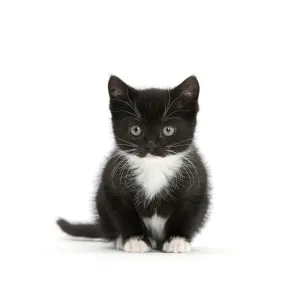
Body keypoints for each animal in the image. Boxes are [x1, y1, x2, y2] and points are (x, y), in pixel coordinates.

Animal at [57, 75, 210, 253]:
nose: (151, 145)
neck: (153, 169)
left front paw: (177, 240)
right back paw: (121, 240)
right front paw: (135, 240)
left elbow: (186, 215)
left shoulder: (196, 187)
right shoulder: (113, 186)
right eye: (135, 130)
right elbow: (125, 216)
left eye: (168, 130)